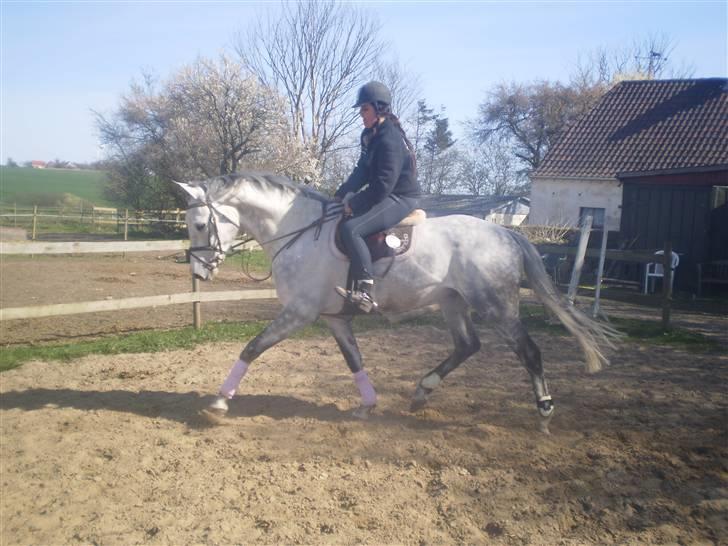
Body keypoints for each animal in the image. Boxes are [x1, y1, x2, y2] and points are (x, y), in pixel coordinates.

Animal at [179, 170, 616, 430]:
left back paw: (544, 412)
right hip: (452, 302)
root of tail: (507, 233)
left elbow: (252, 348)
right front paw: (368, 405)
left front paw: (219, 402)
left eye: (199, 224)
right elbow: (354, 360)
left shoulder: (298, 313)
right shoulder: (334, 317)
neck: (299, 231)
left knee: (529, 352)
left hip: (496, 305)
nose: (199, 272)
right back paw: (422, 392)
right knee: (467, 345)